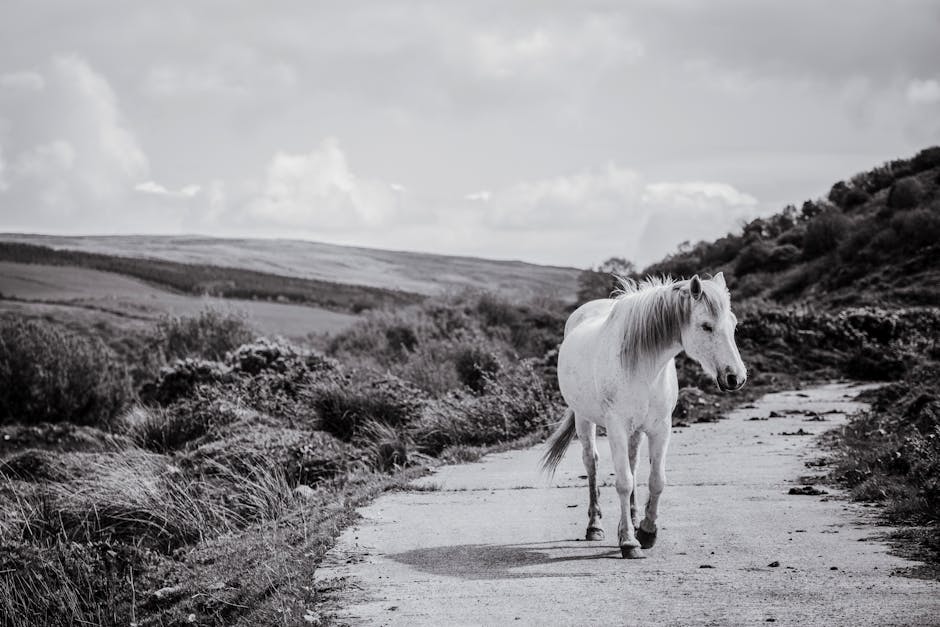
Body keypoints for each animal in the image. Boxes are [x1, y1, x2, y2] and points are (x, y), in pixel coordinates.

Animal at [540, 274, 744, 560]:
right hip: (584, 420)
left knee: (633, 463)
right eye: (706, 326)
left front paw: (646, 531)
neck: (645, 365)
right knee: (592, 464)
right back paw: (595, 526)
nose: (736, 377)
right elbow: (624, 482)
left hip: (635, 430)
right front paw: (628, 542)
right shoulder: (616, 427)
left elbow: (656, 480)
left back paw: (634, 519)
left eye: (734, 324)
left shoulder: (661, 428)